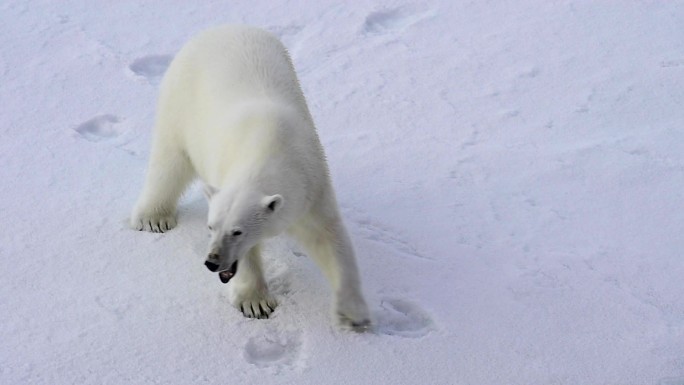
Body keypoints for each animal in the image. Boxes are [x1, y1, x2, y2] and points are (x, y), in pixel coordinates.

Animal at [131, 25, 372, 328]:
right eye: (210, 226)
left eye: (237, 231)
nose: (212, 262)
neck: (270, 147)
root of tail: (219, 29)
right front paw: (255, 303)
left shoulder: (312, 184)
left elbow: (328, 236)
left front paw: (353, 313)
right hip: (180, 100)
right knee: (170, 161)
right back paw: (154, 218)